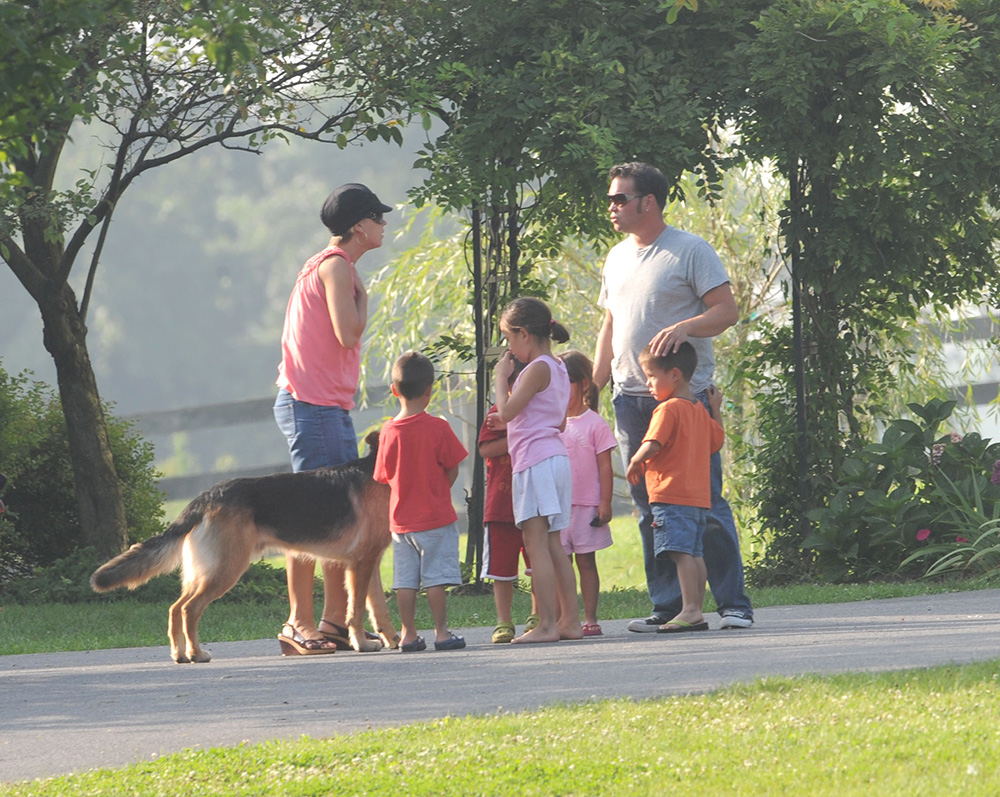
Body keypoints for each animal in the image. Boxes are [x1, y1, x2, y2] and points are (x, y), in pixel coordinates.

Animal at [89, 432, 394, 664]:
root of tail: (203, 498)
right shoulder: (361, 564)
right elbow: (357, 609)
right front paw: (362, 643)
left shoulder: (369, 563)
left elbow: (378, 609)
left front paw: (393, 640)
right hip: (225, 571)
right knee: (189, 609)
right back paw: (196, 654)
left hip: (202, 573)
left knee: (175, 608)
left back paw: (180, 654)